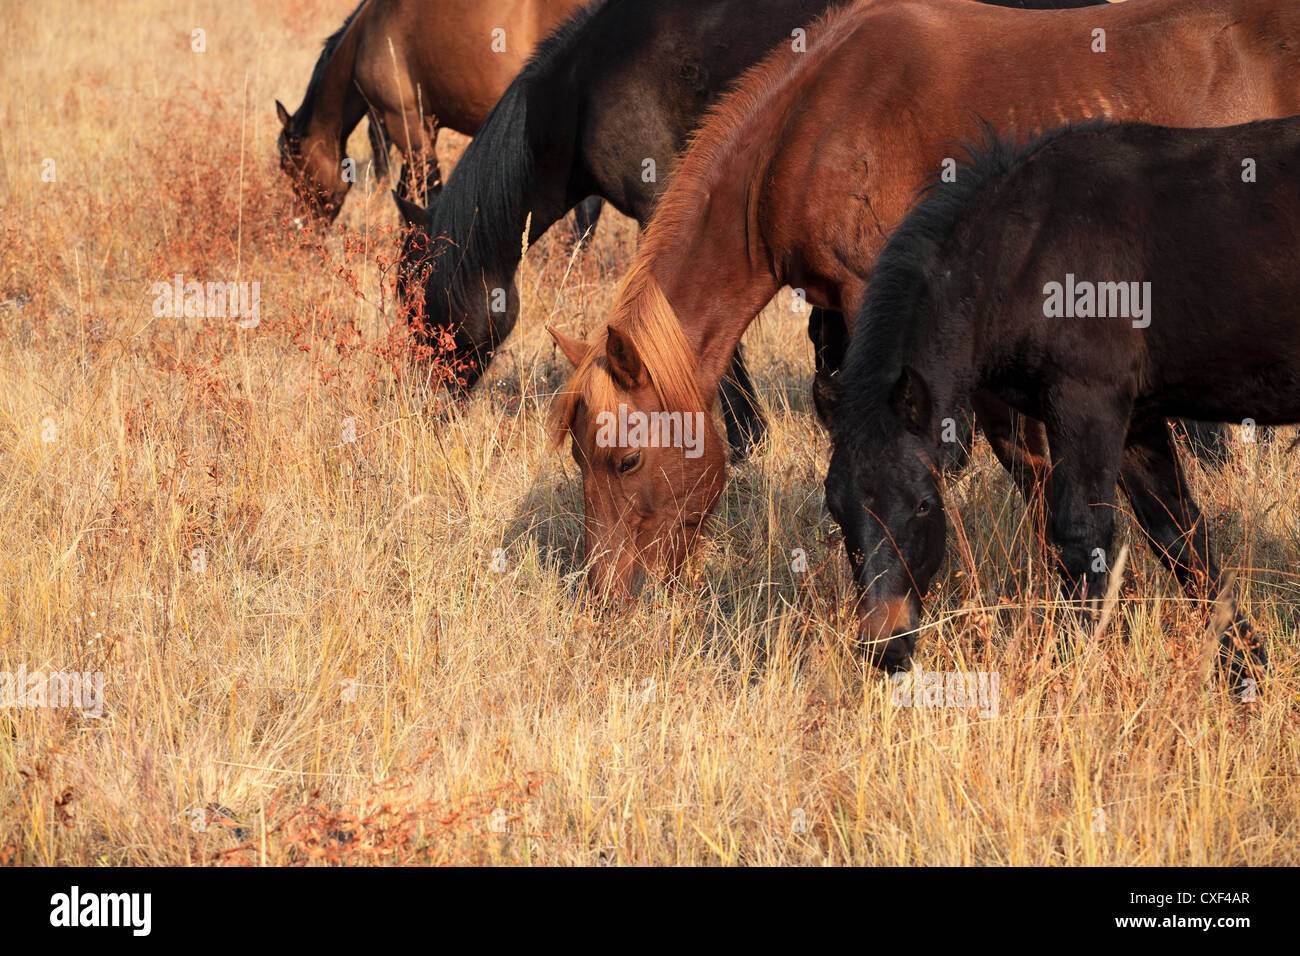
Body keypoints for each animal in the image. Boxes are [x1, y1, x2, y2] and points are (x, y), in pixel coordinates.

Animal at [275, 0, 590, 222]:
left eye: (289, 166)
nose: (302, 225)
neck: (366, 34)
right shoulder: (426, 125)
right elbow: (406, 191)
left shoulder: (401, 120)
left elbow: (428, 192)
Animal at [824, 115, 1300, 687]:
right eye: (836, 509)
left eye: (924, 504)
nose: (885, 648)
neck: (1024, 251)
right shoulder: (1137, 421)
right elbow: (1179, 535)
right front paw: (1247, 670)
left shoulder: (1087, 406)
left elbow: (1081, 538)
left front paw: (1069, 674)